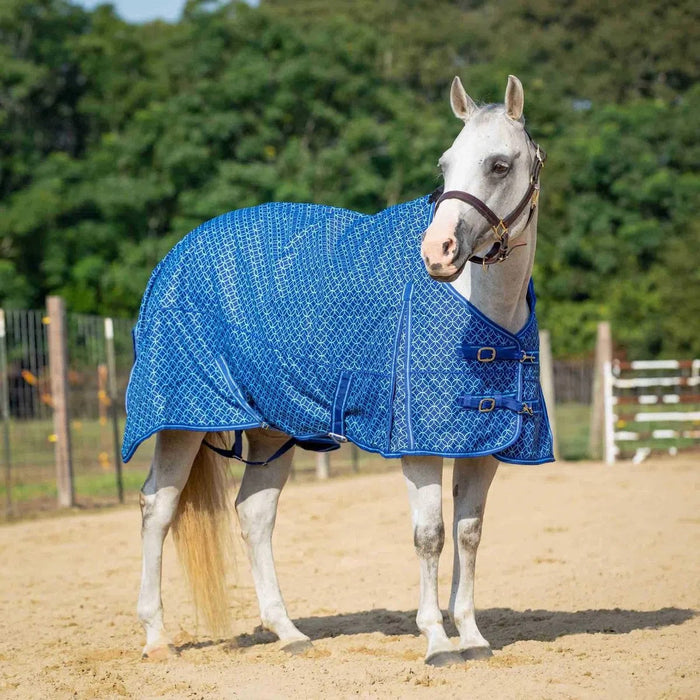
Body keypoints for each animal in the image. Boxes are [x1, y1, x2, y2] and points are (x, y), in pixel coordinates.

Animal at [132, 75, 552, 667]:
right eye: (445, 165)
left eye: (498, 164)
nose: (437, 252)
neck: (481, 306)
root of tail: (175, 256)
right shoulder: (418, 446)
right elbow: (431, 535)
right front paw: (437, 641)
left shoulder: (484, 444)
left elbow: (469, 534)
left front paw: (472, 637)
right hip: (180, 421)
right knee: (159, 508)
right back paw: (157, 637)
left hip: (272, 428)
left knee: (254, 515)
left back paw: (288, 632)